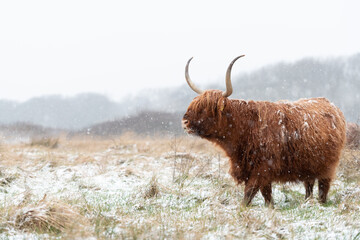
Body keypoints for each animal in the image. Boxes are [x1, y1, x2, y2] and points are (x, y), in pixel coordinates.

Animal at [183, 55, 346, 205]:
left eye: (205, 108)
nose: (184, 122)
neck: (244, 128)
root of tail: (332, 105)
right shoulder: (251, 169)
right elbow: (266, 194)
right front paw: (270, 207)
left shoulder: (262, 168)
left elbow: (249, 193)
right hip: (309, 165)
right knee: (309, 185)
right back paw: (307, 202)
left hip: (327, 166)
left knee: (323, 187)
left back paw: (320, 203)